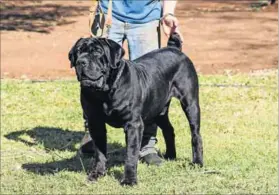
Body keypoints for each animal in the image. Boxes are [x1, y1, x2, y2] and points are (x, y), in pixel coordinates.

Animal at [68, 33, 203, 186]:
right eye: (78, 52)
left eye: (97, 51)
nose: (81, 62)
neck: (104, 92)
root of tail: (174, 48)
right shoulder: (95, 123)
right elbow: (100, 152)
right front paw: (97, 174)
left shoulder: (133, 124)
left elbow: (131, 154)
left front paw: (129, 180)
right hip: (158, 110)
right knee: (169, 129)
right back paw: (170, 156)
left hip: (190, 104)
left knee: (196, 134)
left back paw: (197, 162)